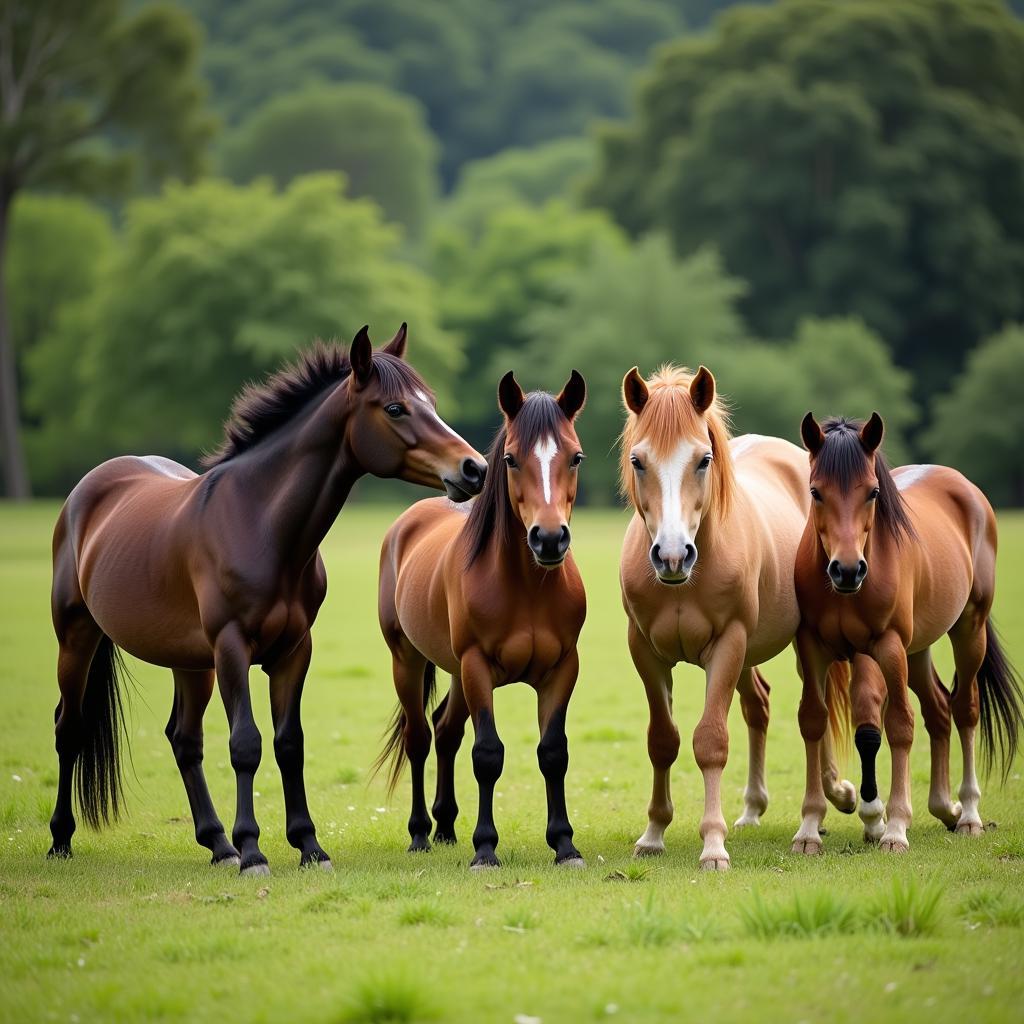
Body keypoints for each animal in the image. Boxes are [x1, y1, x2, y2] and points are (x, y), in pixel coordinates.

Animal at [49, 325, 489, 872]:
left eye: (430, 402)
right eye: (395, 408)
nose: (474, 469)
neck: (259, 522)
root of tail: (89, 488)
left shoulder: (293, 651)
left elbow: (289, 743)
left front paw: (308, 844)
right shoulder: (232, 647)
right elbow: (246, 744)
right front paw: (254, 850)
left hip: (190, 662)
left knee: (184, 739)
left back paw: (218, 844)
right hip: (77, 637)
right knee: (69, 728)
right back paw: (62, 839)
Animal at [376, 372, 589, 868]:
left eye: (575, 456)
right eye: (510, 458)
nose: (549, 539)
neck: (528, 589)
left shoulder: (562, 669)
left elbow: (554, 752)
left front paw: (564, 844)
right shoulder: (477, 667)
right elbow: (488, 754)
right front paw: (486, 848)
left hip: (454, 673)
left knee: (445, 731)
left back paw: (446, 827)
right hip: (408, 661)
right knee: (419, 737)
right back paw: (420, 833)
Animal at [614, 364, 847, 868]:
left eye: (703, 459)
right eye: (639, 461)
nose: (672, 555)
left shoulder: (728, 643)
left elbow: (711, 741)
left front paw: (713, 844)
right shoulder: (644, 651)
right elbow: (662, 740)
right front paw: (653, 833)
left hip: (797, 643)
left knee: (815, 713)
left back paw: (832, 798)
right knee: (759, 704)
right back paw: (755, 807)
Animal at [790, 411, 1024, 851]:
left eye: (872, 493)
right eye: (815, 492)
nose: (848, 570)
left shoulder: (885, 647)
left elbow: (897, 724)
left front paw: (893, 825)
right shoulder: (813, 647)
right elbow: (813, 720)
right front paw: (810, 828)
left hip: (968, 630)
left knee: (964, 709)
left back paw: (968, 813)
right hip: (918, 651)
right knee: (939, 709)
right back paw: (944, 808)